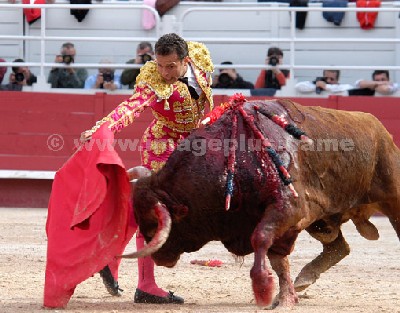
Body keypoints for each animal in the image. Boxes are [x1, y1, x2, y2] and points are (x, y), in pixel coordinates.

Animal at [122, 97, 400, 308]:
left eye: (152, 225)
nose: (159, 258)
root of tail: (380, 129)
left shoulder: (288, 208)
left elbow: (262, 239)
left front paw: (264, 289)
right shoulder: (286, 220)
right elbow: (278, 259)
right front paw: (285, 297)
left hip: (392, 199)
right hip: (322, 221)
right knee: (339, 247)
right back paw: (304, 279)